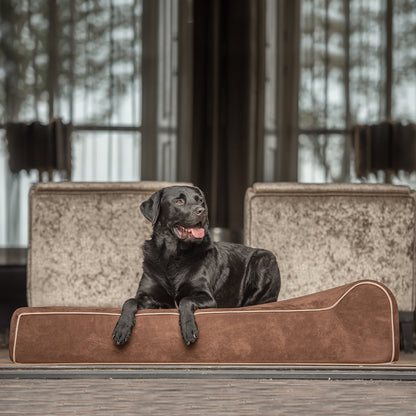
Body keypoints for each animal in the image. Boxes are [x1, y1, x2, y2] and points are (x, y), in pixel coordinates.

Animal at [111, 185, 280, 344]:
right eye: (179, 201)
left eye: (200, 201)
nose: (202, 211)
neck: (173, 255)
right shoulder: (148, 296)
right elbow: (129, 301)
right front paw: (121, 328)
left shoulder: (207, 297)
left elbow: (185, 300)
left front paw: (189, 328)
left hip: (265, 258)